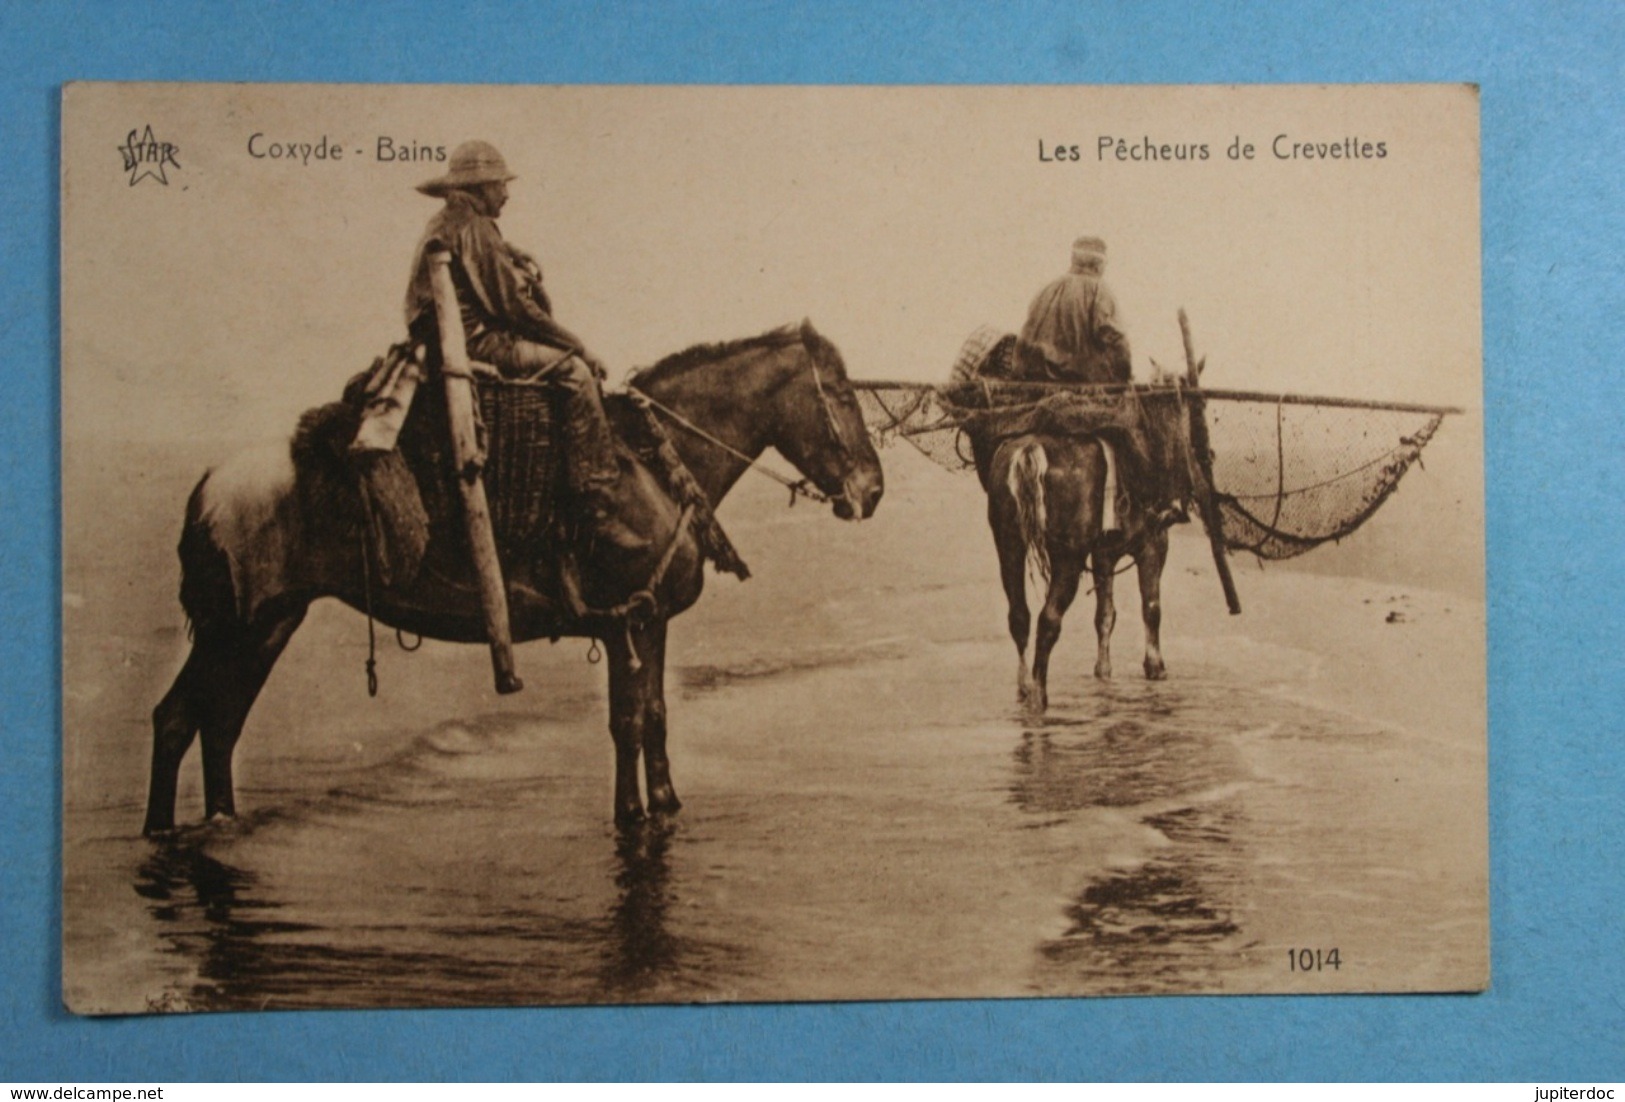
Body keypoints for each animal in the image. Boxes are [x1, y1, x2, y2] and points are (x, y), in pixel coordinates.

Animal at [146, 321, 884, 838]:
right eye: (843, 395)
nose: (871, 491)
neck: (649, 464)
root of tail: (210, 482)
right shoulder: (629, 621)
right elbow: (626, 721)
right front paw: (632, 815)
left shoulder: (648, 623)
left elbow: (653, 715)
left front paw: (666, 803)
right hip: (231, 628)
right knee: (178, 718)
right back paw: (162, 831)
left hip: (270, 622)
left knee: (221, 722)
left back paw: (221, 822)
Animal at [975, 388, 1196, 715]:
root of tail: (1029, 450)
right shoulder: (1153, 546)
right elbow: (1151, 608)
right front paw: (1155, 667)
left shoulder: (1104, 555)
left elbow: (1105, 614)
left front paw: (1103, 670)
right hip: (1068, 557)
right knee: (1048, 620)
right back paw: (1039, 696)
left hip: (1009, 544)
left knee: (1019, 616)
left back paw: (1025, 686)